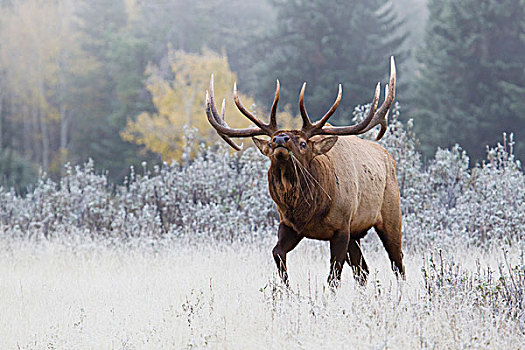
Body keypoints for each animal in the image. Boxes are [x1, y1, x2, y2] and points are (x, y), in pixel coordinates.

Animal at [207, 57, 404, 288]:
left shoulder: (342, 227)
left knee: (397, 263)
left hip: (391, 214)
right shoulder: (290, 225)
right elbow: (277, 253)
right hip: (356, 233)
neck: (309, 209)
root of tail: (389, 158)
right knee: (363, 270)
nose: (280, 139)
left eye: (302, 143)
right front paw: (287, 289)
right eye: (272, 140)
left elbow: (333, 277)